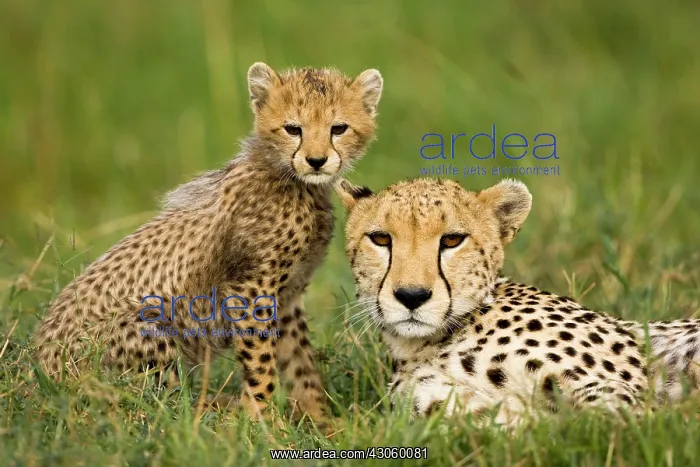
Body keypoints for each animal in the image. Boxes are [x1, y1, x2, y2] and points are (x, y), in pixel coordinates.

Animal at [32, 61, 383, 430]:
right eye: (293, 129)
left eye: (338, 128)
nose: (316, 161)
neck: (293, 181)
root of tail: (40, 369)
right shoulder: (250, 292)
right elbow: (261, 365)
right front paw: (262, 425)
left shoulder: (287, 296)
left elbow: (301, 364)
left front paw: (323, 422)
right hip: (146, 324)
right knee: (159, 406)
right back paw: (219, 413)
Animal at [335, 177, 700, 427]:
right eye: (380, 239)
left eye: (452, 240)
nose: (412, 296)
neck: (425, 345)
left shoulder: (626, 389)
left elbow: (609, 418)